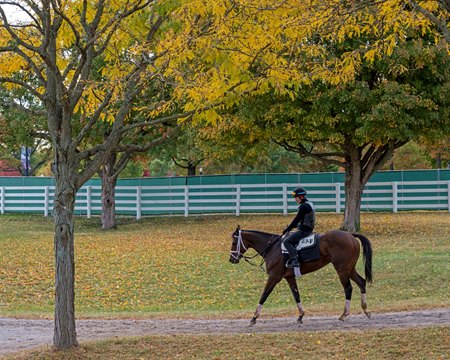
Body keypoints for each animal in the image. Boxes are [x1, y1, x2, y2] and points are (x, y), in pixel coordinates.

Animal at [229, 228, 372, 326]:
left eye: (234, 242)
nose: (231, 259)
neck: (272, 248)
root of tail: (350, 234)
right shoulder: (289, 278)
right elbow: (296, 295)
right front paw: (301, 316)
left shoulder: (274, 277)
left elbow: (264, 295)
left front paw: (254, 317)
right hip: (349, 269)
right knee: (361, 282)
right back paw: (365, 309)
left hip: (342, 270)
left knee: (348, 288)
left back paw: (344, 314)